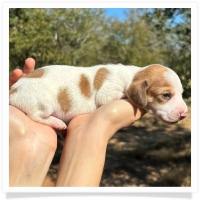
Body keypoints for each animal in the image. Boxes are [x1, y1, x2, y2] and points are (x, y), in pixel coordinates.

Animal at [9, 63, 188, 130]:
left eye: (181, 94)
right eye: (166, 95)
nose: (184, 113)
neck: (132, 75)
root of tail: (12, 91)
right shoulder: (107, 92)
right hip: (42, 102)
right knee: (36, 115)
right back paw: (57, 122)